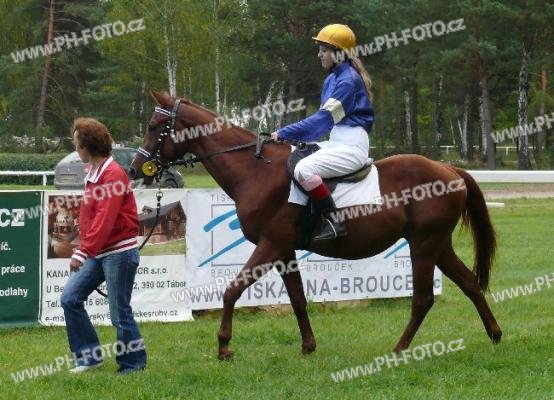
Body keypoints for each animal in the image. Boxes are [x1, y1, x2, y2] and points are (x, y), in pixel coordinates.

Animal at [130, 91, 502, 360]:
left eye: (153, 127)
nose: (135, 170)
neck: (256, 171)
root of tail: (449, 169)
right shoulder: (284, 250)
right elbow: (297, 299)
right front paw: (308, 346)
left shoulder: (270, 245)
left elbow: (233, 289)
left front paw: (224, 346)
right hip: (437, 245)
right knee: (470, 283)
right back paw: (495, 334)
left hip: (424, 246)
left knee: (423, 298)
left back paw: (400, 349)